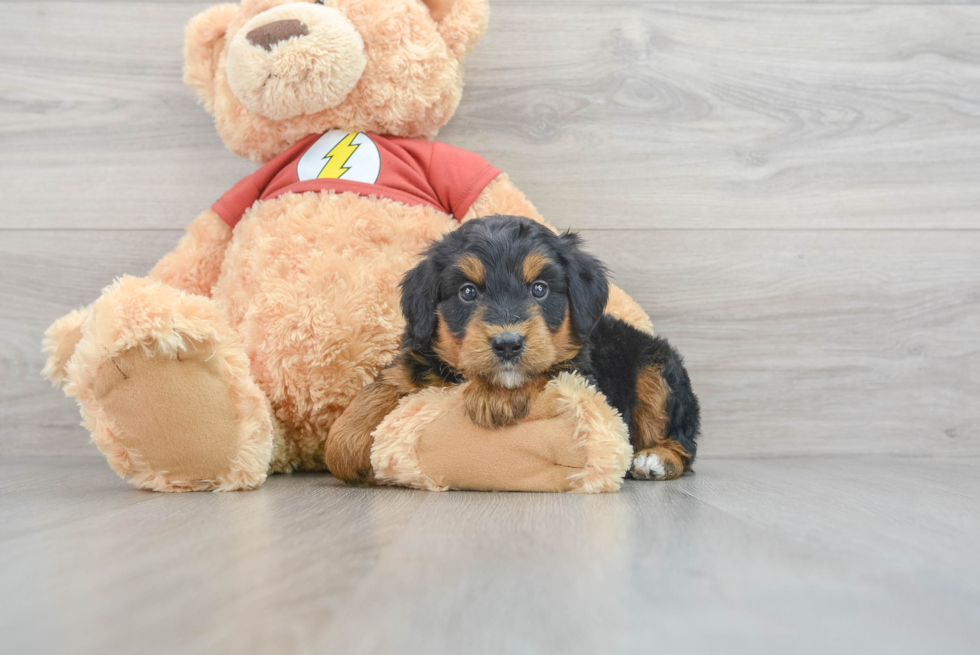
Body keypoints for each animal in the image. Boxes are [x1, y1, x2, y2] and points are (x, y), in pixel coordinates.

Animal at [326, 217, 700, 486]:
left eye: (539, 289)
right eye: (467, 292)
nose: (507, 344)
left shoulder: (579, 371)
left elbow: (543, 370)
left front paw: (496, 397)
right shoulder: (420, 357)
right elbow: (386, 383)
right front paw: (347, 441)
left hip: (658, 372)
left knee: (684, 441)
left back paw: (656, 460)